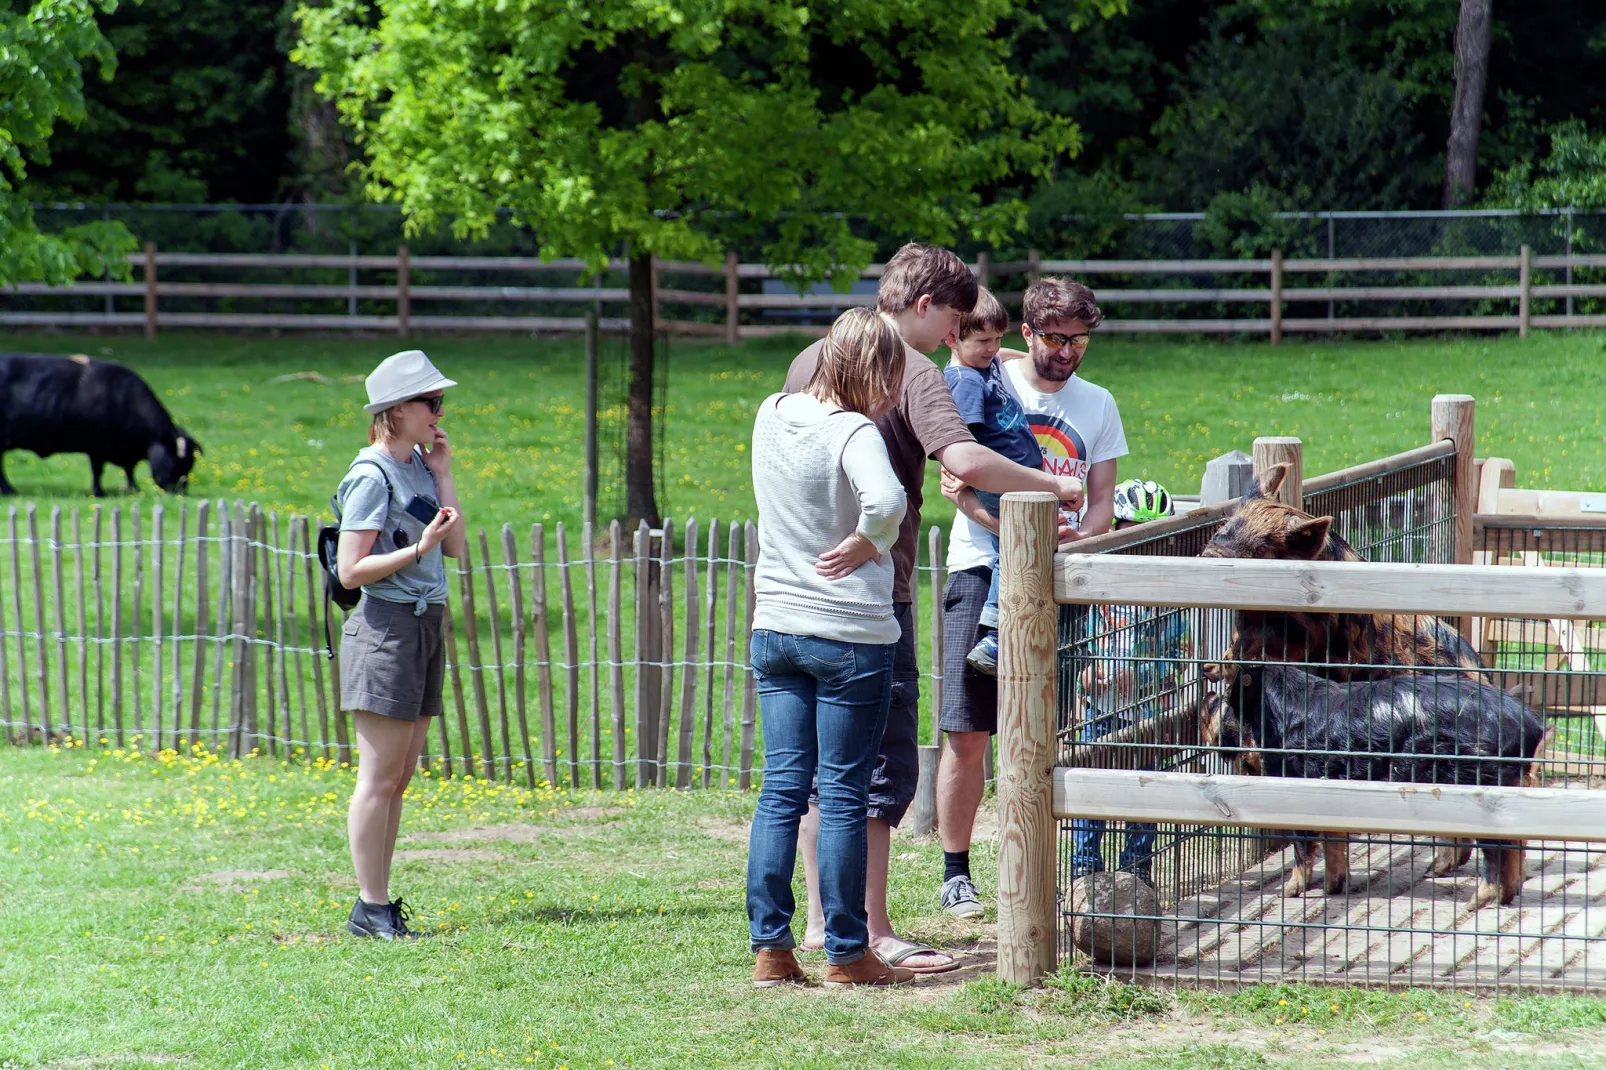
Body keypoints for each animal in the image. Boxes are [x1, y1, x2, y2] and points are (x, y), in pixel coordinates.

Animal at [0, 353, 202, 494]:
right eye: (174, 460)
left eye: (190, 464)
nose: (179, 491)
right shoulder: (97, 448)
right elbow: (98, 472)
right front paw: (99, 492)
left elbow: (129, 470)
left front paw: (134, 489)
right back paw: (9, 491)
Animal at [1201, 661, 1548, 906]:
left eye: (1223, 701)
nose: (1207, 694)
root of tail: (1530, 726)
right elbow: (1335, 845)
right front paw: (1333, 889)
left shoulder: (1295, 788)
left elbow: (1303, 848)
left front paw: (1289, 892)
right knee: (1517, 846)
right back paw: (1502, 897)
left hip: (1485, 792)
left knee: (1497, 850)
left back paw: (1476, 902)